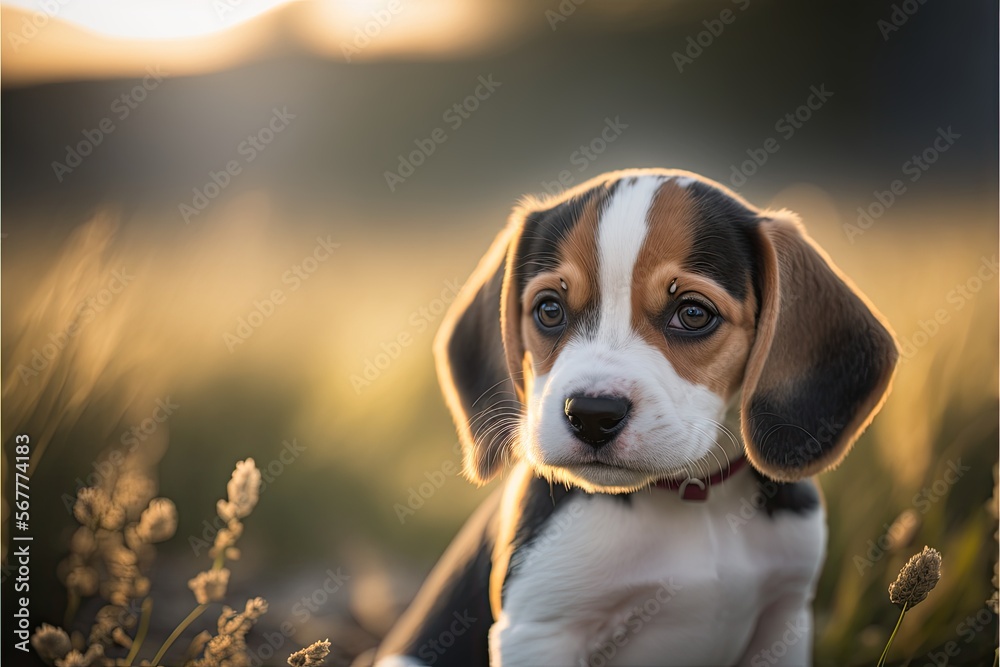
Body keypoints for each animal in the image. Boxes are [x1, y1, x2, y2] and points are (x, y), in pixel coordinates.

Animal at [374, 170, 900, 664]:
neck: (696, 496)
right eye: (549, 309)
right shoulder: (540, 631)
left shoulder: (785, 618)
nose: (591, 414)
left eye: (693, 313)